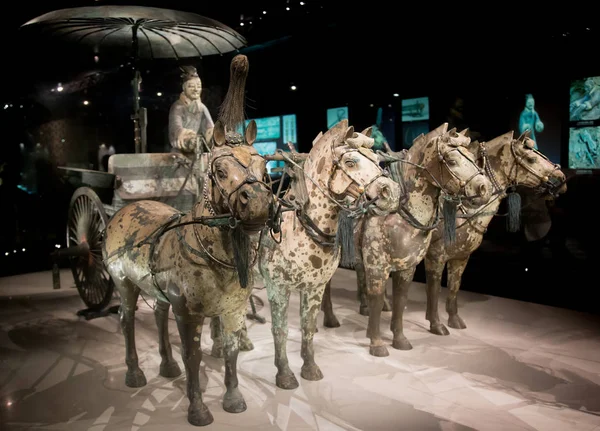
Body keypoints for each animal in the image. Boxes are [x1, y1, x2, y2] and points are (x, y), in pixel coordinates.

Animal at [424, 130, 564, 332]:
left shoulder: (460, 257)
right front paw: (436, 324)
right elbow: (433, 290)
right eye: (531, 159)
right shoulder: (435, 257)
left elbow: (454, 287)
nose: (561, 178)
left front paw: (453, 319)